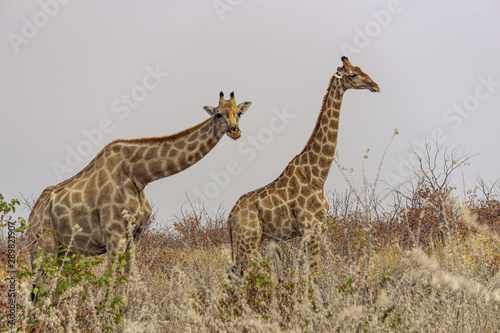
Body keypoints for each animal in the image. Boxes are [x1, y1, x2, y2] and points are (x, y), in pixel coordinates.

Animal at [26, 91, 250, 300]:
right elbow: (110, 288)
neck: (139, 175)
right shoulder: (114, 236)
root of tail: (31, 216)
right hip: (43, 248)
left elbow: (124, 290)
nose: (235, 131)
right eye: (218, 114)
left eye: (238, 113)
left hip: (67, 252)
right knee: (40, 293)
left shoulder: (134, 238)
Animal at [228, 57, 378, 274]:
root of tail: (230, 217)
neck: (317, 175)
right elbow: (314, 271)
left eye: (361, 69)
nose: (375, 86)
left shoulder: (318, 227)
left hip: (250, 241)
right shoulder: (310, 226)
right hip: (248, 240)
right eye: (352, 74)